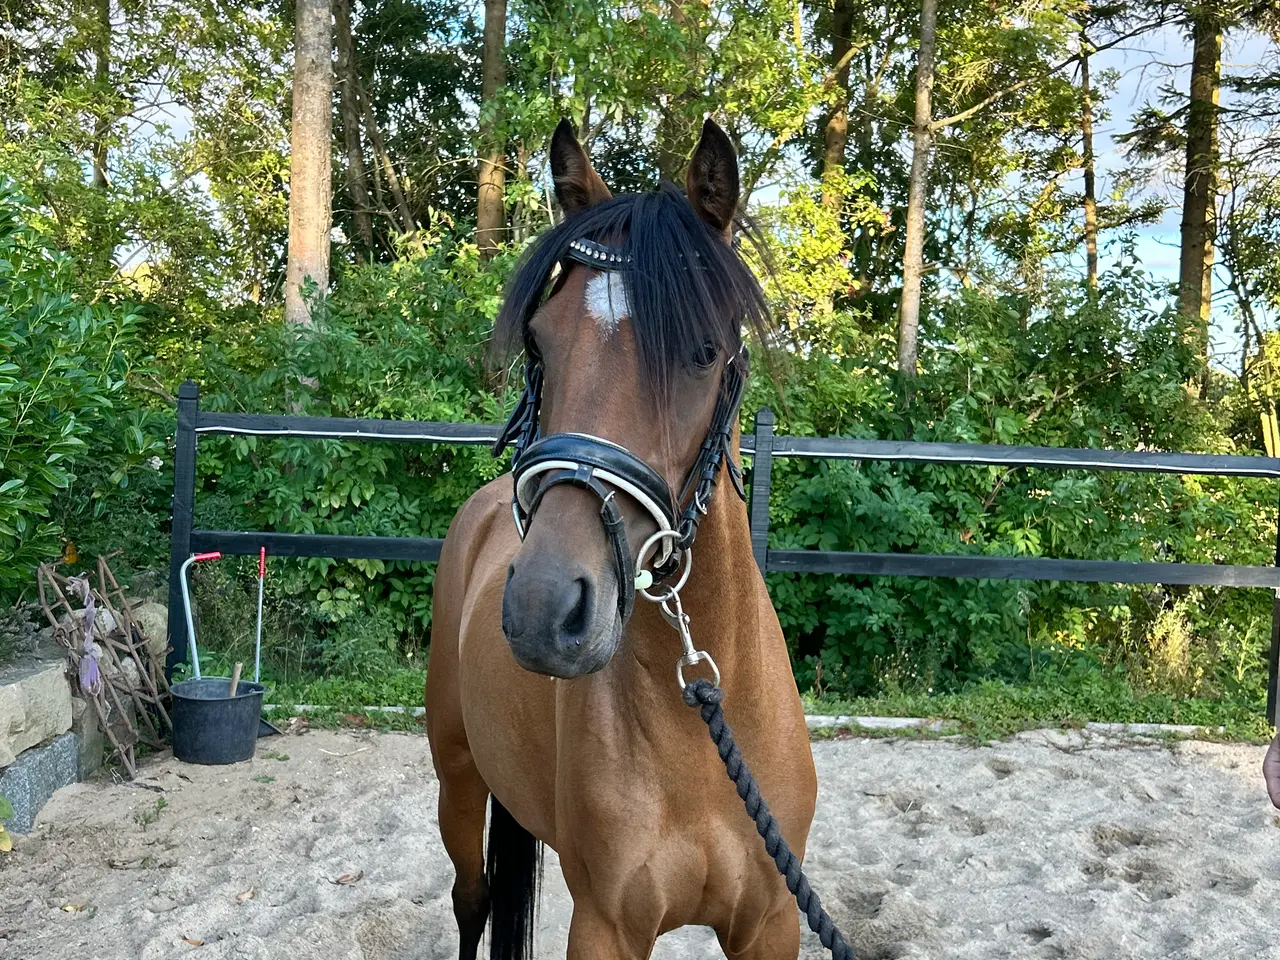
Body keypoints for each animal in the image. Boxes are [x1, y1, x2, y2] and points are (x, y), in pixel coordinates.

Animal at [425, 117, 818, 960]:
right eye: (540, 345)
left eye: (703, 351)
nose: (543, 611)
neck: (698, 733)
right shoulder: (604, 925)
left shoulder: (772, 921)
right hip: (457, 777)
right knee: (471, 900)